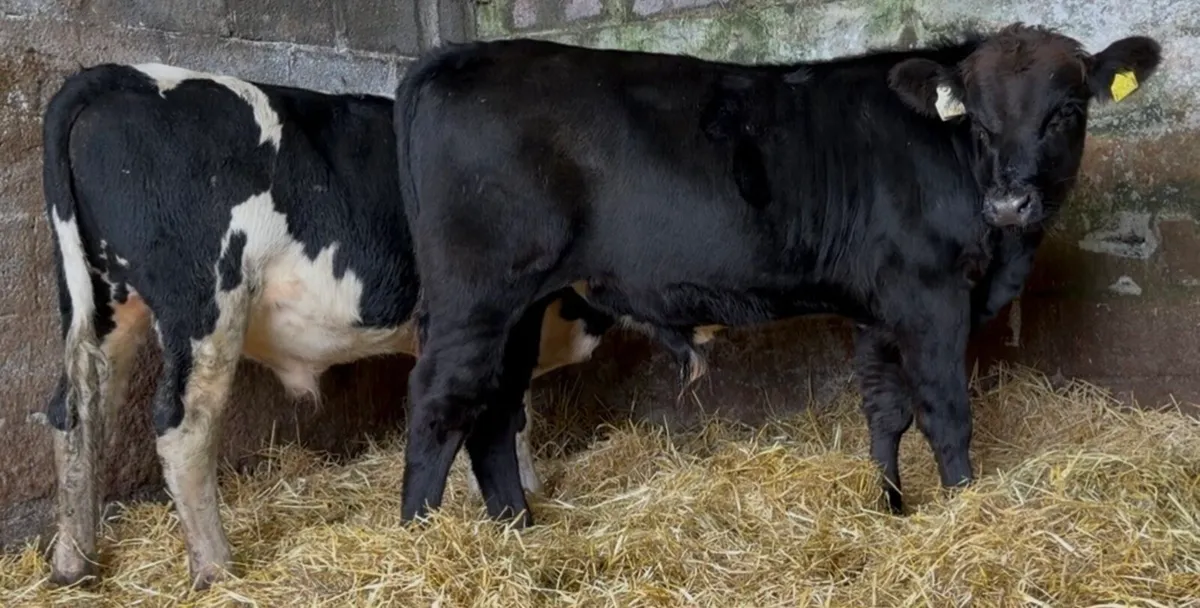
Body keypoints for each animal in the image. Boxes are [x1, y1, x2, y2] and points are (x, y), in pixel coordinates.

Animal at [41, 63, 614, 589]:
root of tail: (130, 75)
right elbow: (508, 412)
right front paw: (519, 496)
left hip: (103, 302)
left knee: (76, 413)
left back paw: (73, 564)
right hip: (204, 300)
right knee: (183, 422)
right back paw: (215, 568)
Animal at [393, 24, 1161, 526]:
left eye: (1067, 111)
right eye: (977, 118)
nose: (1008, 202)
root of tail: (457, 55)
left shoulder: (878, 306)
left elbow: (885, 410)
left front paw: (892, 510)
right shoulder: (930, 294)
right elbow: (945, 413)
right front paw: (966, 508)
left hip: (524, 303)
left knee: (493, 410)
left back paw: (517, 532)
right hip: (477, 292)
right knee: (439, 402)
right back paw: (419, 536)